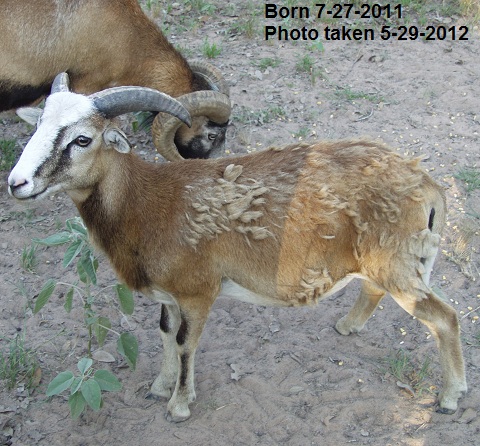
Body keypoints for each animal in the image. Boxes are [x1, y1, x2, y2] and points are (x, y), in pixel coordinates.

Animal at [6, 74, 464, 422]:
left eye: (82, 139)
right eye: (38, 127)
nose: (17, 183)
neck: (150, 205)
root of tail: (428, 187)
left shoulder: (198, 293)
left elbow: (184, 343)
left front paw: (179, 406)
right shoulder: (169, 297)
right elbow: (164, 333)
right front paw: (159, 387)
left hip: (399, 266)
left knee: (445, 317)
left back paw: (450, 397)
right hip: (389, 263)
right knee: (377, 289)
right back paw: (347, 327)